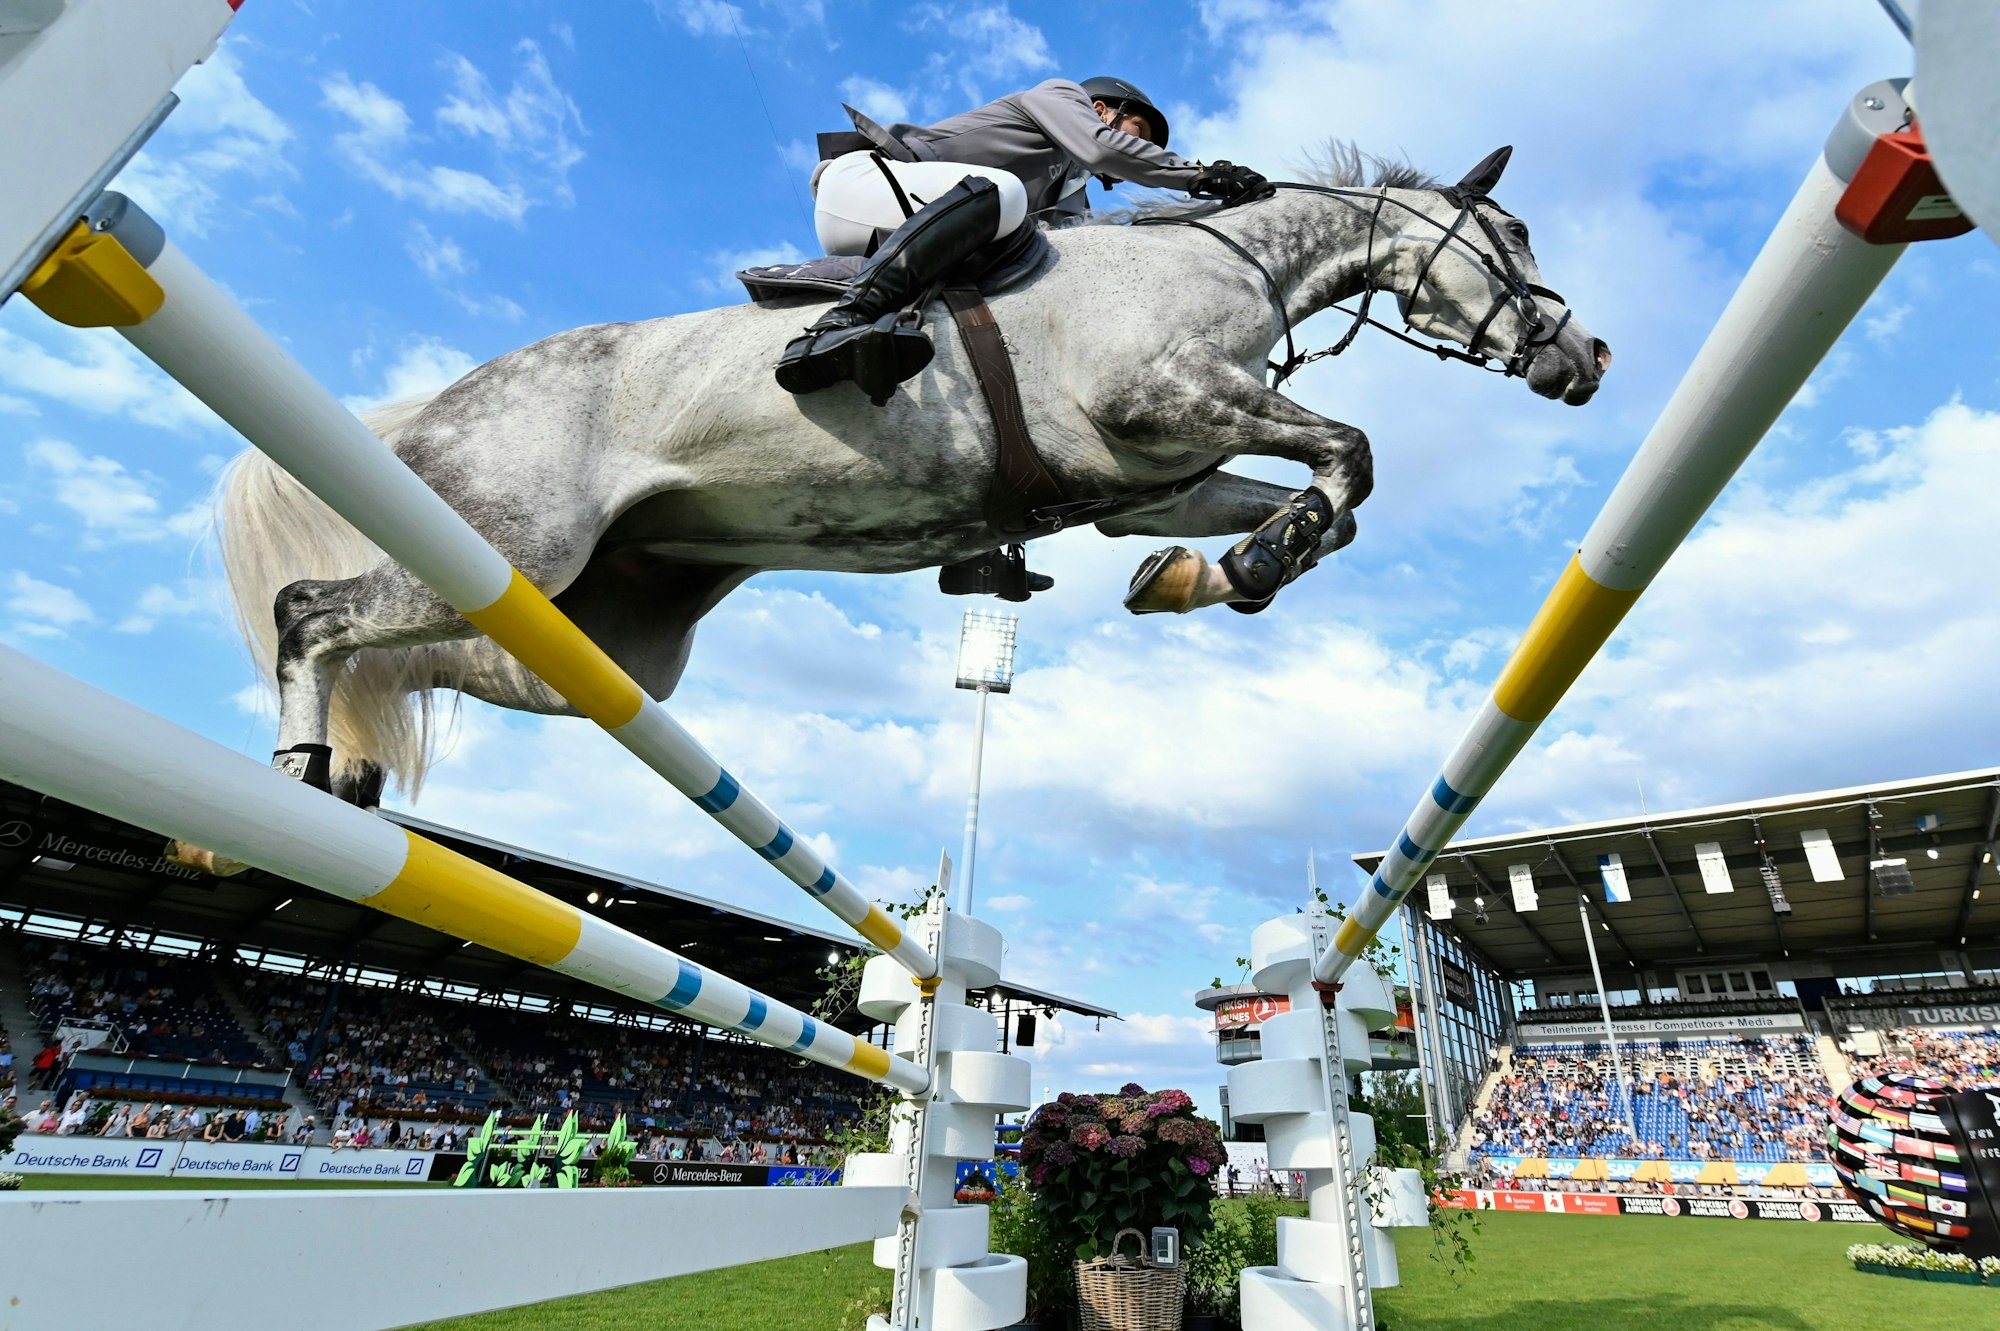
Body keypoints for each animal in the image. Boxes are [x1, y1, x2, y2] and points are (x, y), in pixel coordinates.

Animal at [218, 146, 1611, 808]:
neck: (1225, 261)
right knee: (314, 615)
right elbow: (1351, 454)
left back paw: (350, 773)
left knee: (410, 660)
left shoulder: (1153, 479)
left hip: (594, 639)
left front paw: (1210, 574)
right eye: (1513, 233)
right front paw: (1259, 559)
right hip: (515, 544)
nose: (1585, 357)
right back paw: (295, 774)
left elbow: (1312, 499)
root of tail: (438, 401)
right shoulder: (1159, 399)